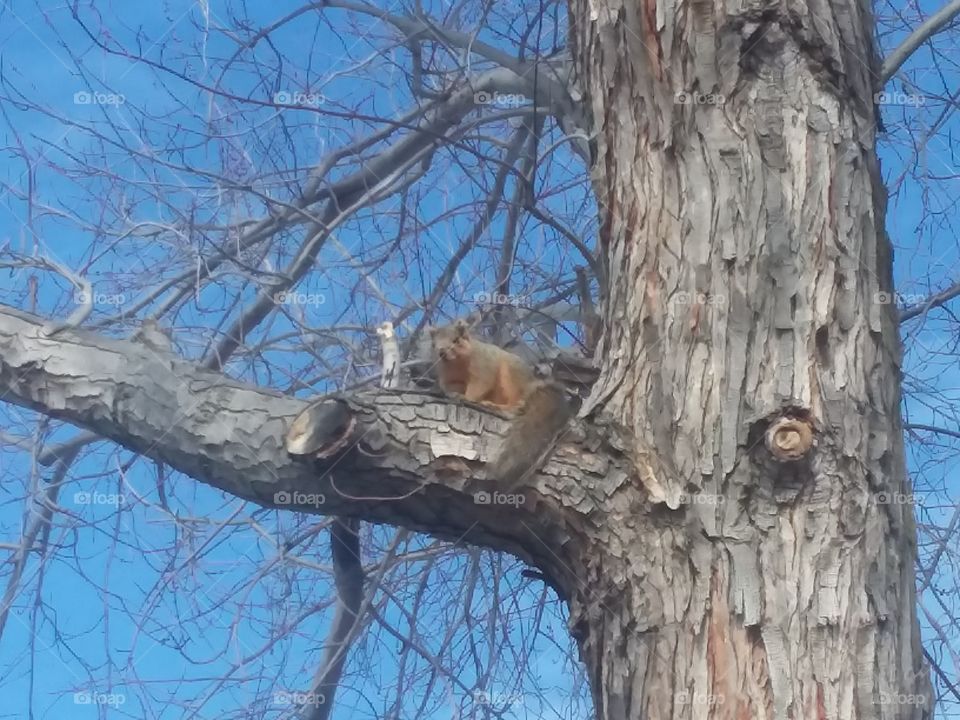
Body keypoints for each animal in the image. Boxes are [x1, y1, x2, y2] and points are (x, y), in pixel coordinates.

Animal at [429, 319, 572, 488]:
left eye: (456, 340)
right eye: (434, 343)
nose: (442, 352)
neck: (456, 363)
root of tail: (531, 384)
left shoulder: (483, 366)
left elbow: (480, 384)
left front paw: (468, 398)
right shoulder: (449, 377)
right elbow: (450, 387)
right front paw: (452, 394)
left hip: (511, 378)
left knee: (514, 404)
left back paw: (495, 406)